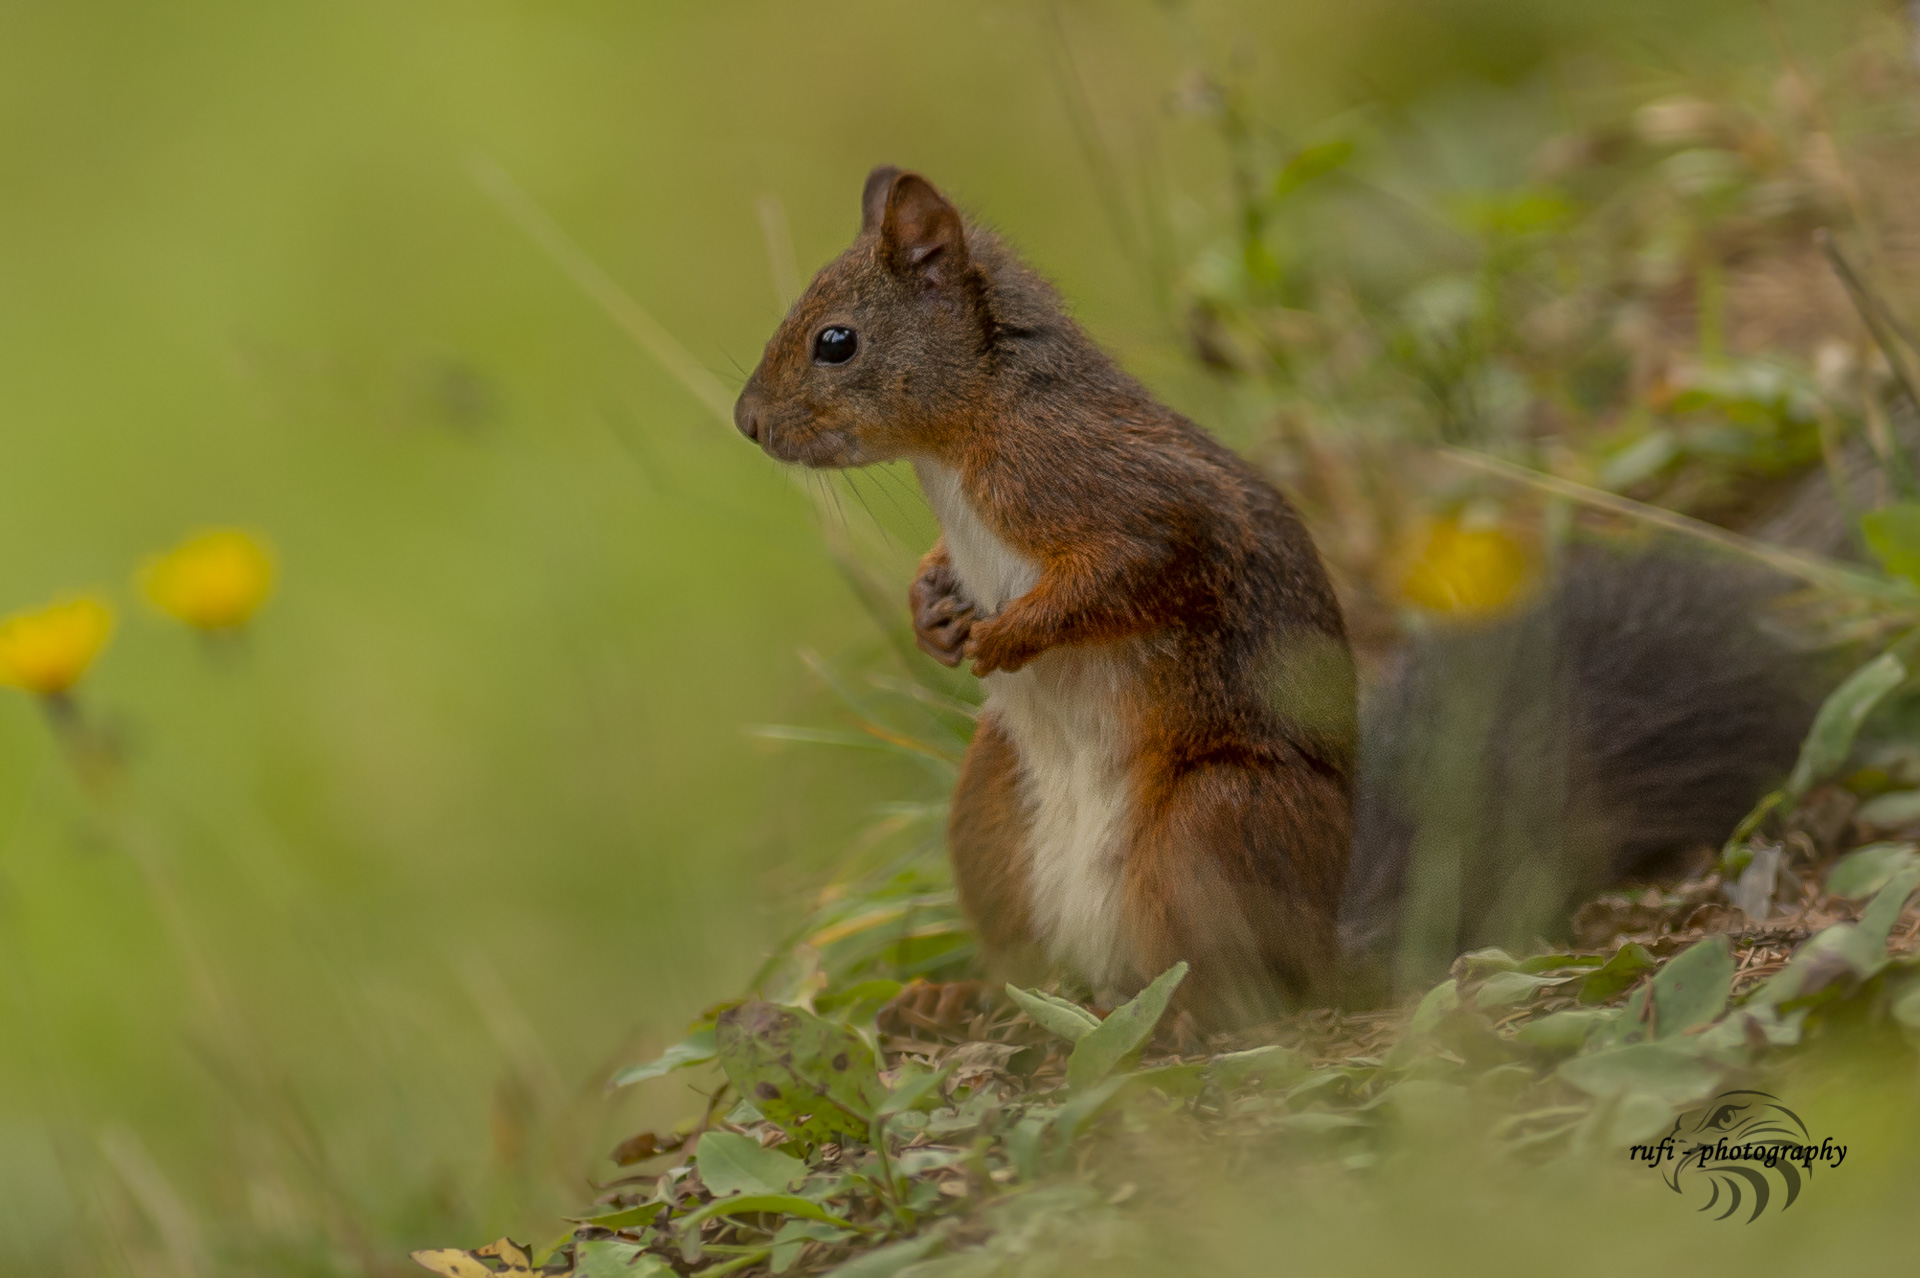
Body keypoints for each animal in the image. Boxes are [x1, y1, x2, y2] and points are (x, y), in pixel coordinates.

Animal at [729, 168, 1812, 1028]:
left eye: (835, 341)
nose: (747, 423)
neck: (960, 446)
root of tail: (1333, 940)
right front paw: (933, 610)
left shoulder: (1120, 494)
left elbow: (1129, 568)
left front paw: (1009, 638)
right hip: (988, 814)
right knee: (1034, 969)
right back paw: (956, 999)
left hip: (1213, 823)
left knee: (1245, 992)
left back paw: (1180, 1020)